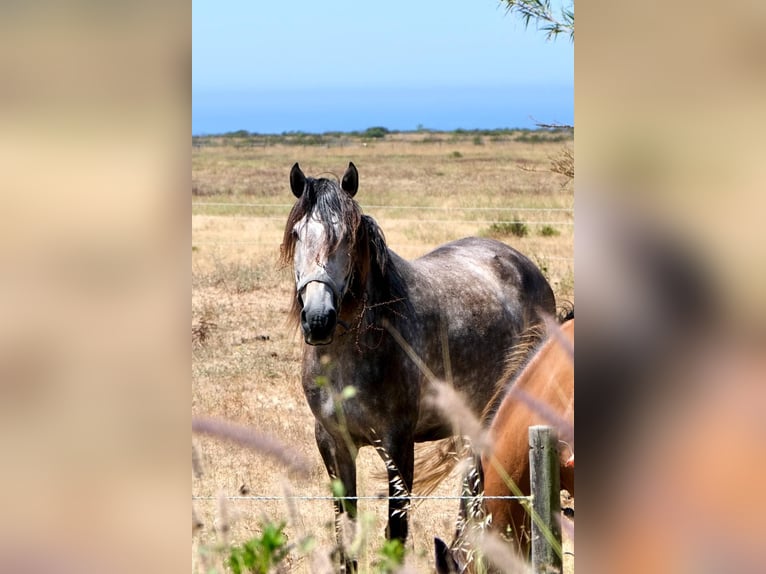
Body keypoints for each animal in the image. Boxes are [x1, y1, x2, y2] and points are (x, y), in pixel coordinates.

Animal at [280, 162, 556, 572]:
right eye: (298, 234)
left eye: (347, 237)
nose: (318, 319)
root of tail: (520, 262)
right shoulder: (332, 441)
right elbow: (346, 533)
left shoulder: (397, 442)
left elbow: (396, 531)